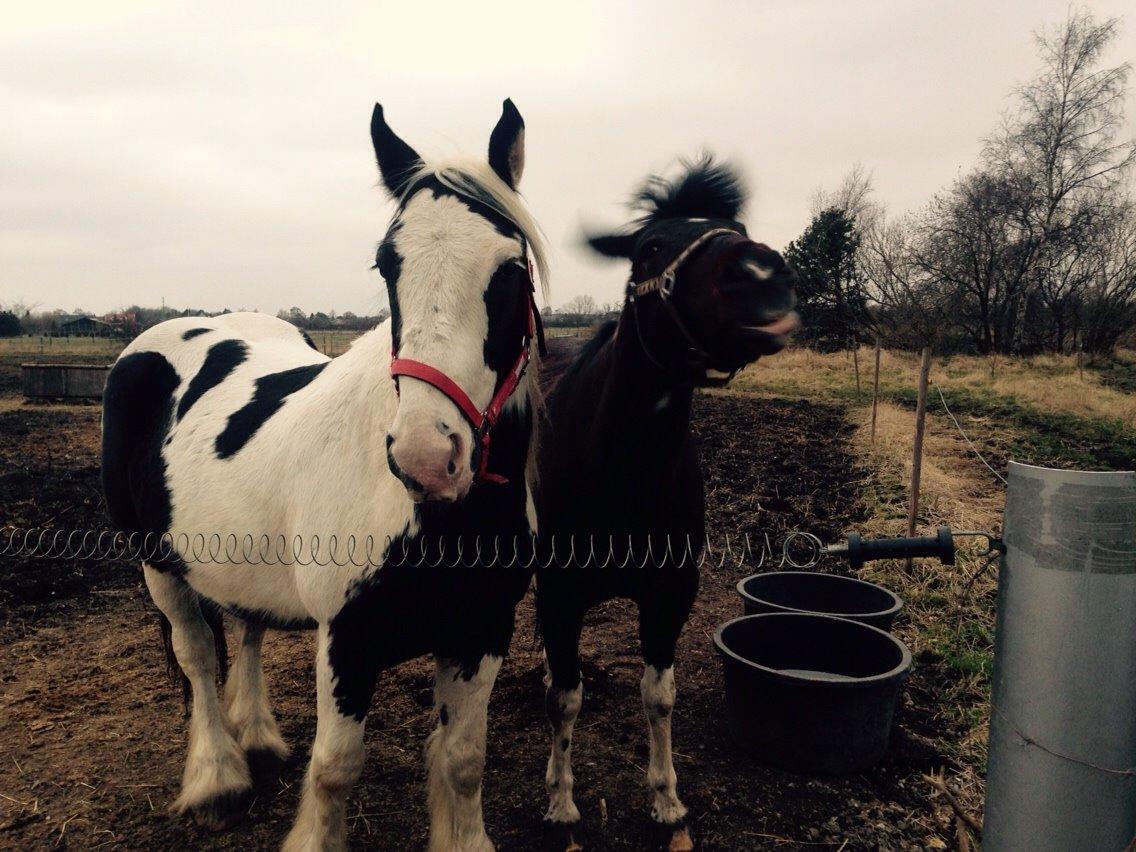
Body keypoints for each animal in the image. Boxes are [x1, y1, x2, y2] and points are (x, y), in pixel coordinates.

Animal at [100, 99, 548, 851]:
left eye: (510, 270)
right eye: (388, 265)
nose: (425, 456)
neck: (431, 518)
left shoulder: (482, 632)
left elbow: (463, 761)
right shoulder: (347, 643)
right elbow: (337, 769)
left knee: (246, 630)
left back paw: (256, 740)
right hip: (157, 564)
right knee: (197, 656)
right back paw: (218, 778)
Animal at [534, 157, 798, 851]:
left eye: (740, 229)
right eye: (650, 247)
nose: (760, 275)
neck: (621, 470)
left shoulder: (669, 594)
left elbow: (658, 696)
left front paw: (666, 799)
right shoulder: (561, 592)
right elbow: (566, 700)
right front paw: (562, 803)